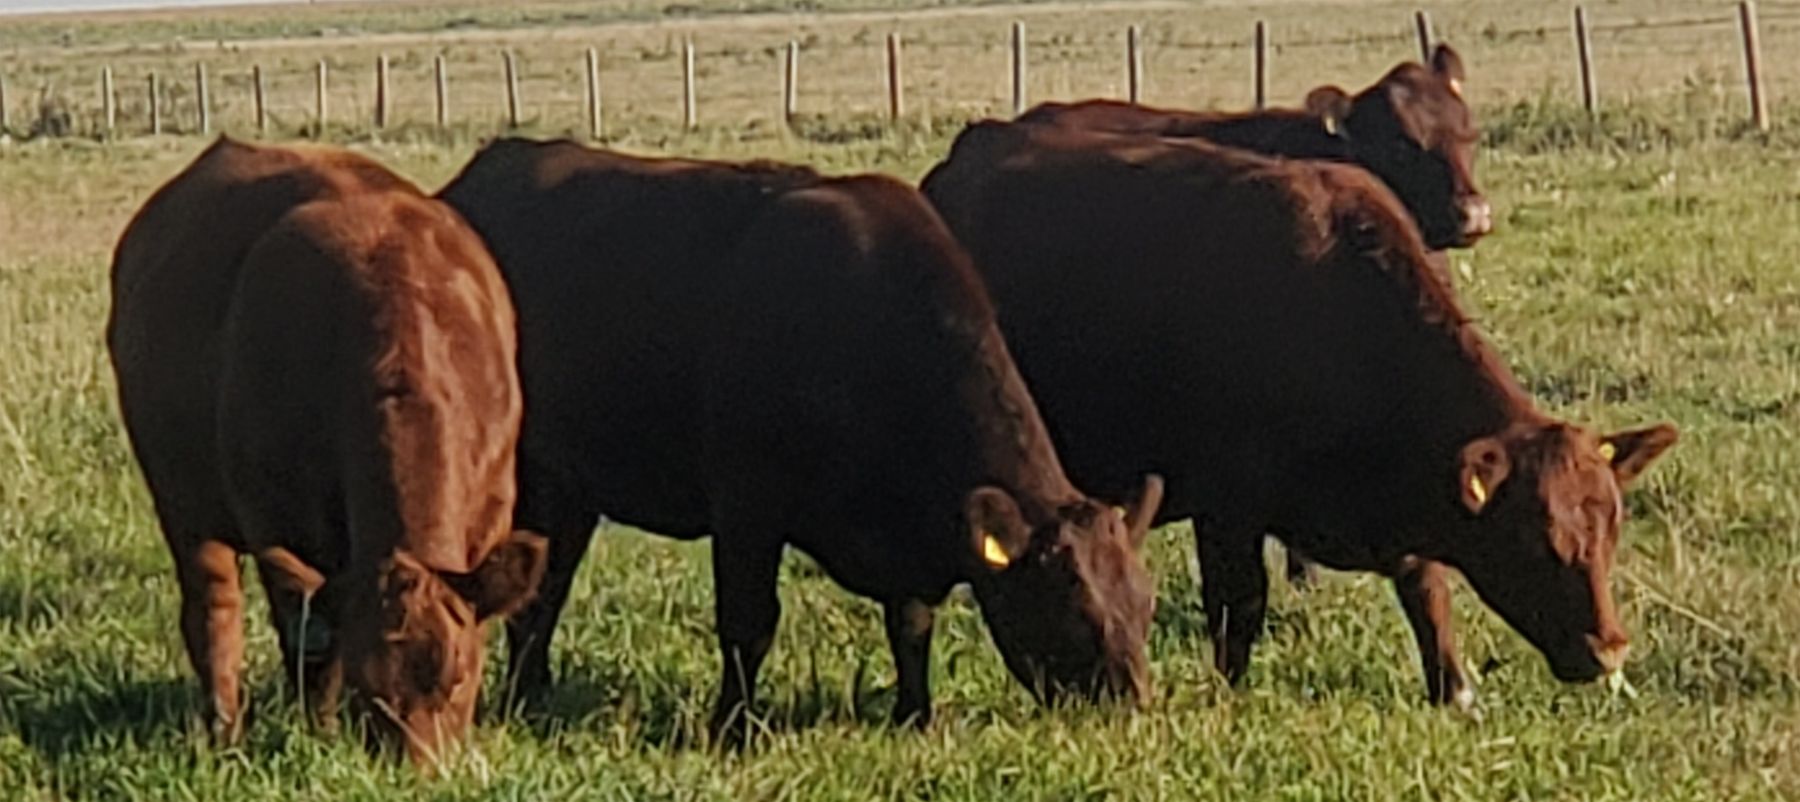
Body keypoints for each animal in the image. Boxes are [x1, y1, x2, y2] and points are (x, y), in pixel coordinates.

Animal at [107, 138, 547, 763]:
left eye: (459, 676)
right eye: (369, 690)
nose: (421, 771)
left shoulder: (490, 515)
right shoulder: (279, 522)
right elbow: (313, 645)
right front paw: (321, 734)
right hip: (183, 502)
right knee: (214, 614)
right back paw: (224, 732)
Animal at [437, 138, 1163, 736]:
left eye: (1145, 604)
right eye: (1075, 609)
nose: (1130, 704)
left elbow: (911, 625)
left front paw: (915, 716)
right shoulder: (746, 505)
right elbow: (749, 623)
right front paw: (733, 727)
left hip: (572, 485)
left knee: (546, 584)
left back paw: (532, 696)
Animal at [919, 121, 1677, 710]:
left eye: (1611, 532)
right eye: (1533, 539)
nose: (1607, 650)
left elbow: (1427, 591)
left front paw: (1453, 690)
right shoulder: (1226, 509)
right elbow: (1239, 607)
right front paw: (1228, 696)